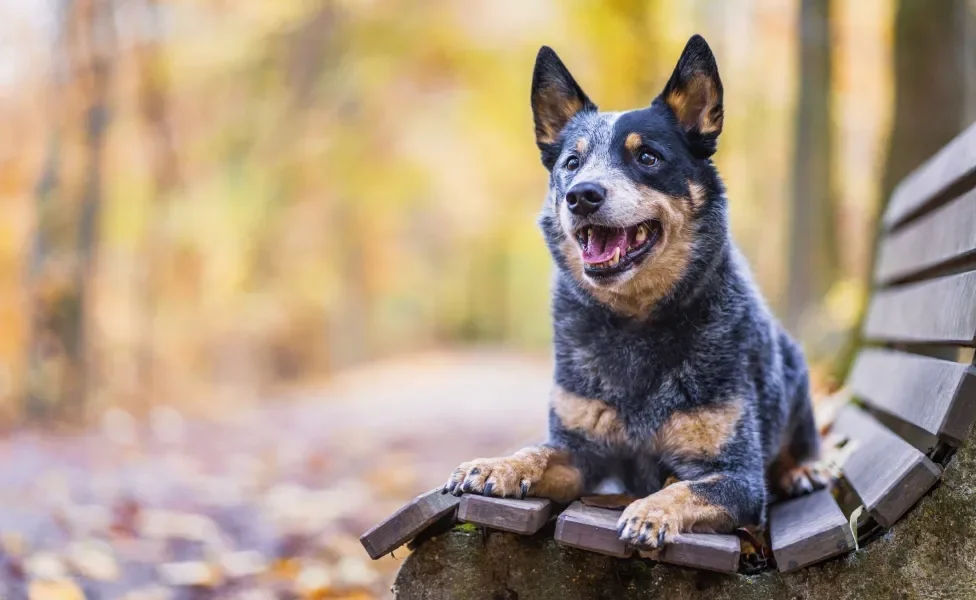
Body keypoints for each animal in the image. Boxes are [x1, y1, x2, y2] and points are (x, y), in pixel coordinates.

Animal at [442, 34, 824, 548]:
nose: (581, 195)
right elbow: (539, 452)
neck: (635, 323)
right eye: (571, 162)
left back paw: (802, 469)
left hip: (796, 374)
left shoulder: (737, 475)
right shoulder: (580, 452)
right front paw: (497, 464)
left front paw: (651, 510)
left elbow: (685, 487)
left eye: (647, 157)